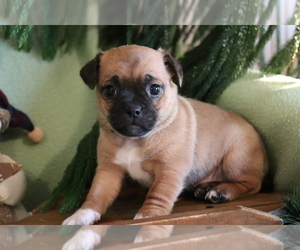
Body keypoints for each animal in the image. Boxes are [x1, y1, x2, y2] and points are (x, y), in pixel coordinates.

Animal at [62, 44, 268, 226]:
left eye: (154, 89)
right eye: (110, 90)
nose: (132, 109)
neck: (134, 140)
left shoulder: (170, 170)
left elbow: (158, 193)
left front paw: (149, 215)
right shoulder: (109, 170)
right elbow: (97, 193)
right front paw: (82, 214)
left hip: (236, 160)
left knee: (251, 184)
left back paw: (222, 191)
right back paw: (207, 187)